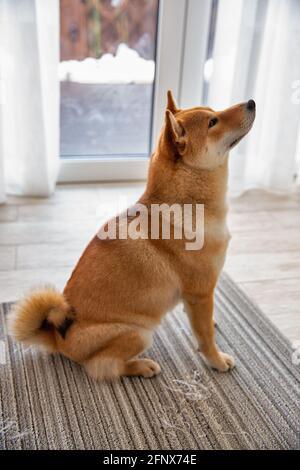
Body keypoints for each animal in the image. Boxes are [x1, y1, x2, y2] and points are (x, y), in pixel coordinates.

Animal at [8, 92, 255, 382]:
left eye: (213, 111)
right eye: (213, 122)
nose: (251, 102)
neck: (188, 204)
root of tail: (59, 340)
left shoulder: (197, 297)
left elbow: (201, 321)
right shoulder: (200, 291)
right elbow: (205, 337)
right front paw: (216, 360)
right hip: (139, 333)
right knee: (103, 366)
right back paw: (141, 366)